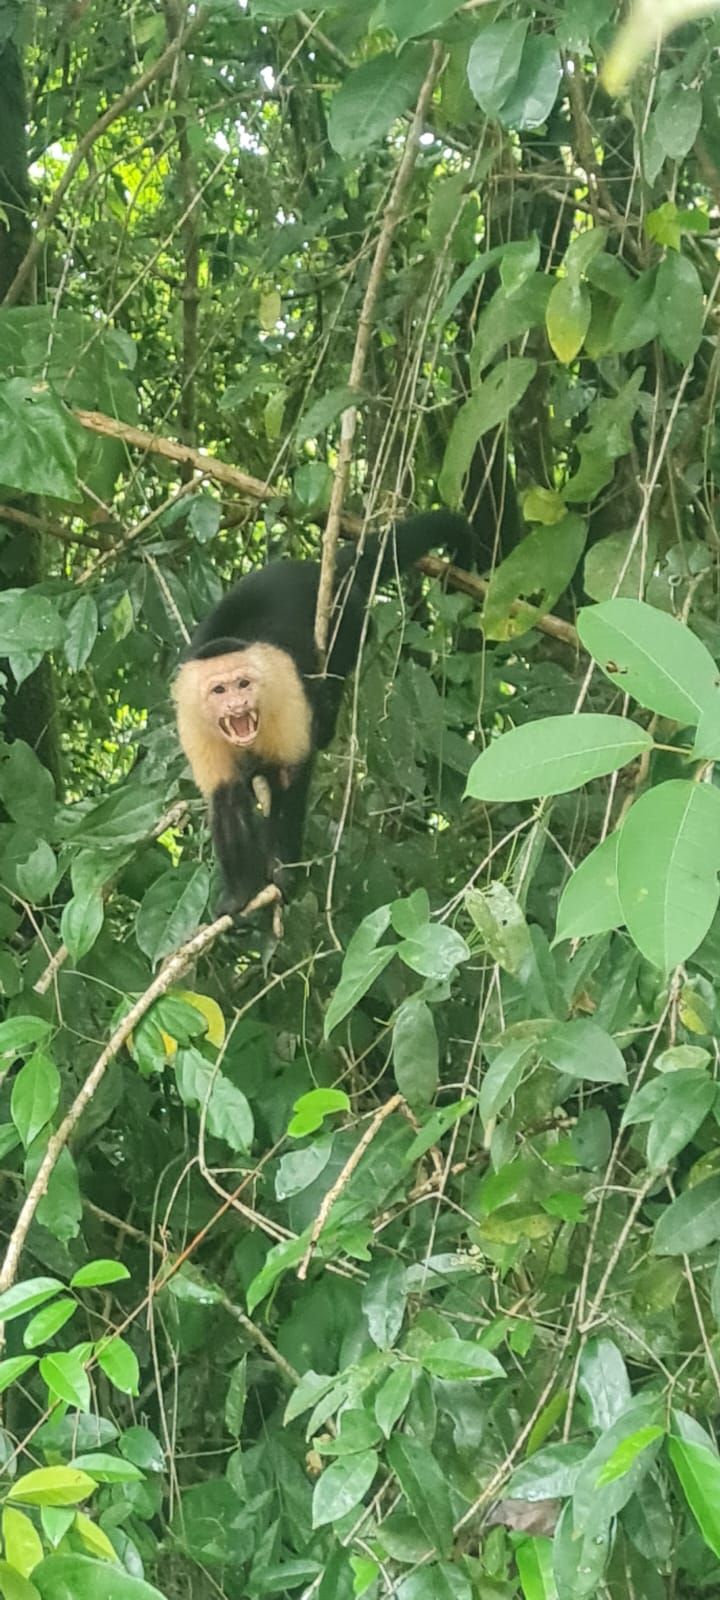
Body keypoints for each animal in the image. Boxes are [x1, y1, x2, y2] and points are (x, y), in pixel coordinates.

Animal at [172, 511, 473, 920]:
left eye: (244, 684)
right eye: (220, 690)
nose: (237, 705)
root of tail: (316, 568)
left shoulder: (281, 692)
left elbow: (291, 775)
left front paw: (282, 870)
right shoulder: (192, 722)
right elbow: (226, 799)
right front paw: (239, 895)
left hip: (349, 612)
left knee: (339, 660)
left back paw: (324, 719)